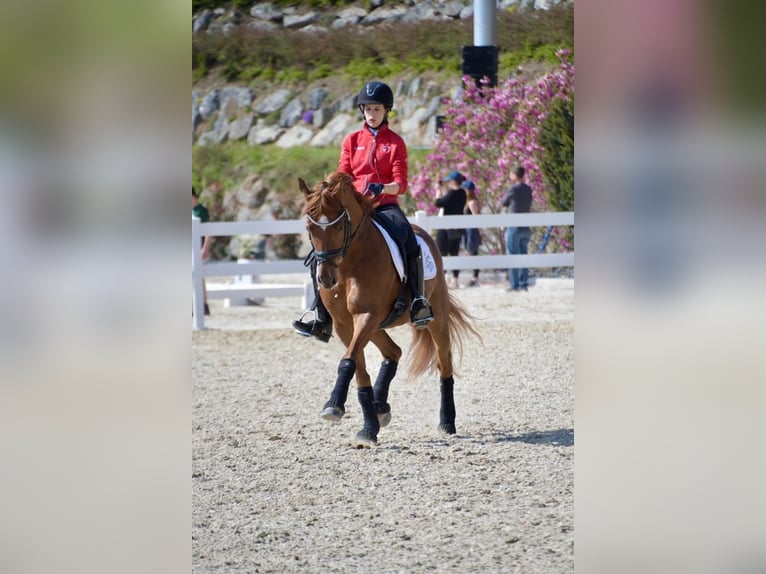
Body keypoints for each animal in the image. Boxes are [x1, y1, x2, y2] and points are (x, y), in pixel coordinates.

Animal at [298, 171, 480, 450]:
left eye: (338, 227)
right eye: (310, 228)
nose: (326, 279)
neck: (350, 265)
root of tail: (423, 232)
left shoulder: (366, 316)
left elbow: (348, 361)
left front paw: (335, 407)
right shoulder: (344, 324)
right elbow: (357, 369)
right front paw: (366, 425)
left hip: (434, 319)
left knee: (444, 364)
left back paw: (447, 422)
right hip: (377, 325)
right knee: (393, 352)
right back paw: (380, 407)